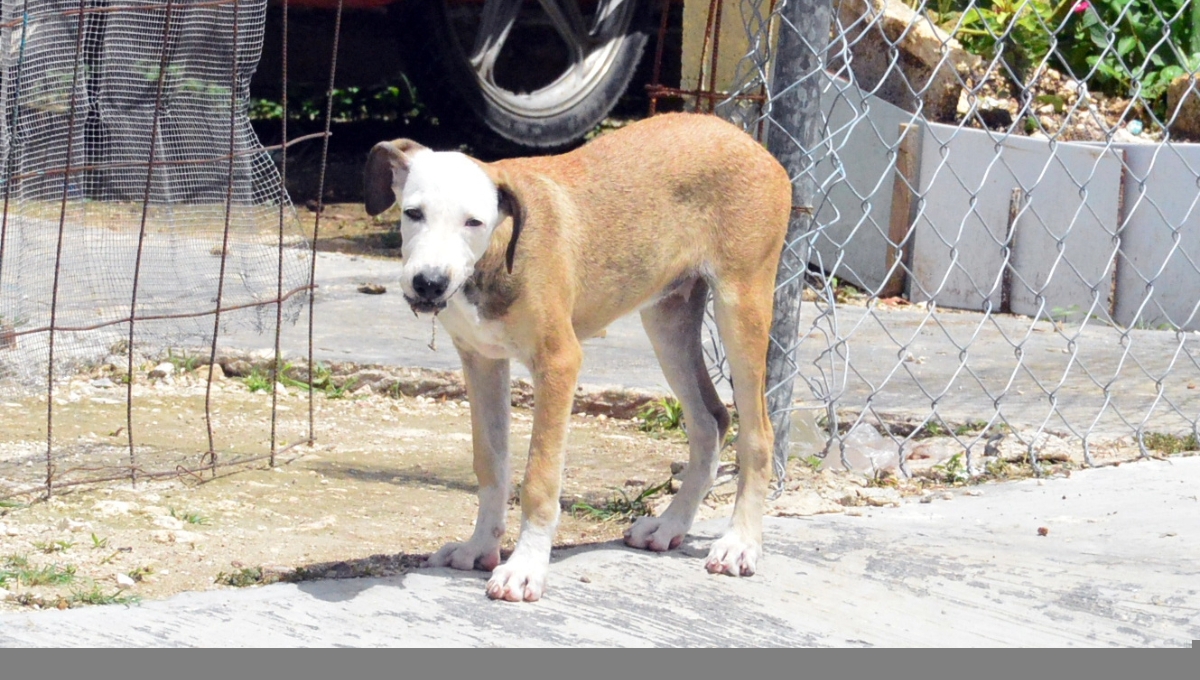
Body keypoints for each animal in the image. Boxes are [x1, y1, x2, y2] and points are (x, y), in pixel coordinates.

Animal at [364, 113, 796, 602]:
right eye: (412, 213)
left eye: (473, 222)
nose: (429, 283)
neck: (497, 254)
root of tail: (745, 140)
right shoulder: (481, 361)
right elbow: (490, 464)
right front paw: (479, 548)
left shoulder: (558, 363)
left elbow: (538, 477)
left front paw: (525, 569)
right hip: (668, 320)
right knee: (711, 421)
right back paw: (670, 525)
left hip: (740, 307)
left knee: (758, 433)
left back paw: (740, 543)